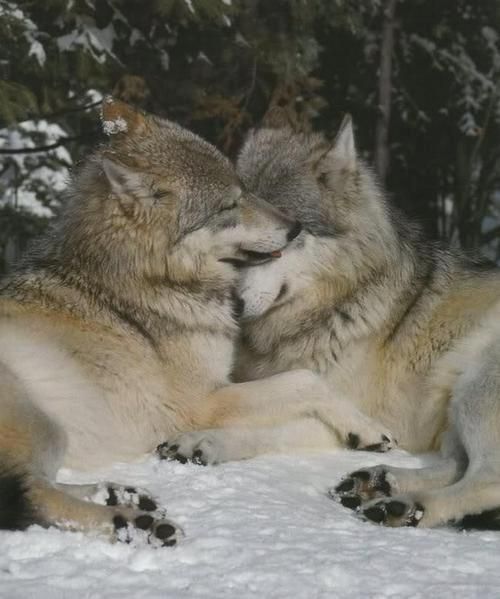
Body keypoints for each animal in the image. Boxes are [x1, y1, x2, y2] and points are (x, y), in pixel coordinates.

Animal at [0, 97, 308, 544]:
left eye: (245, 189)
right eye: (228, 205)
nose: (296, 227)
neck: (147, 280)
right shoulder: (202, 404)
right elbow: (307, 381)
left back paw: (123, 494)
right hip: (44, 425)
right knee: (23, 496)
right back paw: (136, 523)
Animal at [169, 111, 500, 528]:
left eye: (284, 240)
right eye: (237, 246)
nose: (230, 307)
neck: (334, 307)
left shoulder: (357, 411)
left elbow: (276, 427)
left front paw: (205, 440)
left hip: (475, 389)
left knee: (485, 479)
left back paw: (406, 506)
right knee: (456, 464)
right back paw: (379, 482)